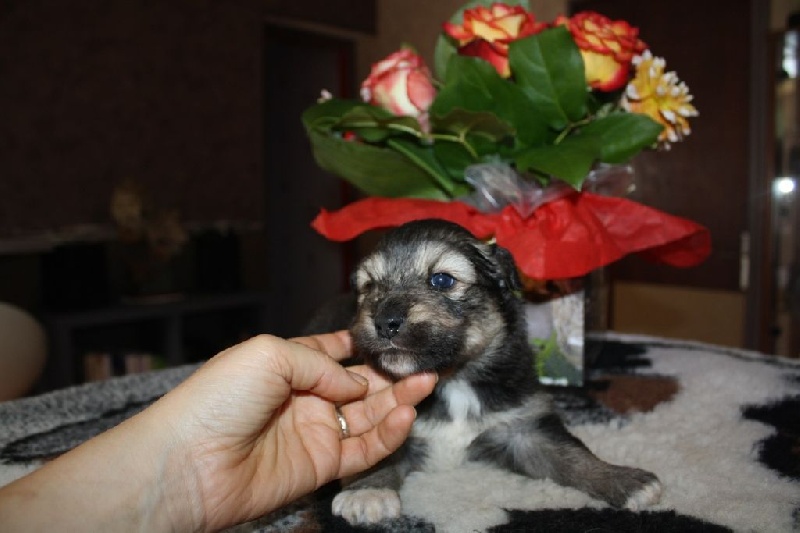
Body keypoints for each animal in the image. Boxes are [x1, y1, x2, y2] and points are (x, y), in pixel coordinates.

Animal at [309, 219, 662, 525]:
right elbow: (380, 452)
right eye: (369, 286)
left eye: (441, 280)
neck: (454, 379)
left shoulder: (525, 428)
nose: (384, 322)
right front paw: (368, 491)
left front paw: (625, 480)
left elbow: (573, 455)